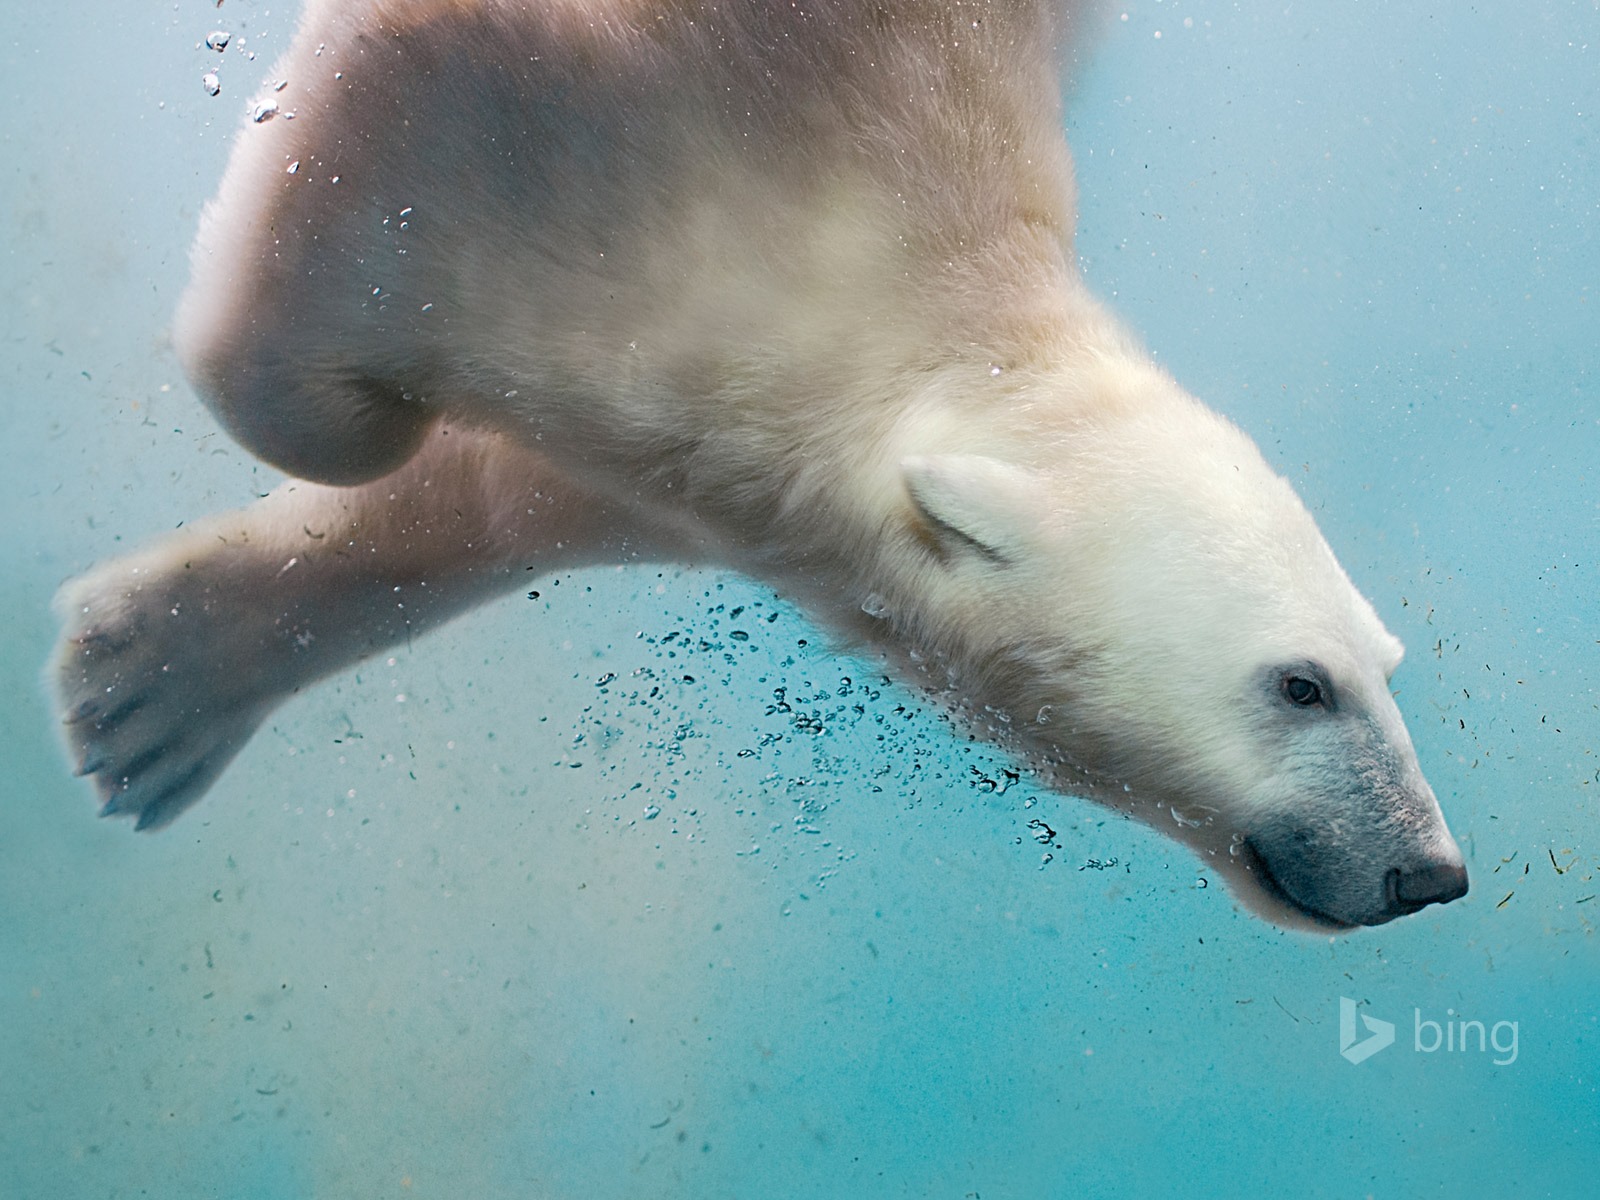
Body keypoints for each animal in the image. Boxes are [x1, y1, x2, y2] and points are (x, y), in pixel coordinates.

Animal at [56, 0, 1465, 928]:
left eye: (1383, 664)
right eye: (1299, 685)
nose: (1429, 873)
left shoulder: (705, 437)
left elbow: (521, 486)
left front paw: (145, 689)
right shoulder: (577, 117)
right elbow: (338, 363)